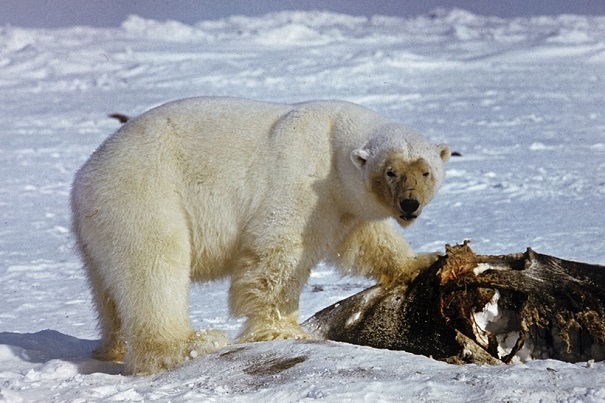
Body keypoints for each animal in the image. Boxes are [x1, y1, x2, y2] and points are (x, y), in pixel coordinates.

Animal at [71, 98, 448, 376]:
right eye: (391, 171)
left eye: (425, 171)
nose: (409, 203)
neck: (331, 144)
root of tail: (84, 179)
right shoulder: (300, 183)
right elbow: (277, 252)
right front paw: (283, 329)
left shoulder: (343, 203)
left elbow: (367, 240)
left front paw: (423, 259)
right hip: (143, 197)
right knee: (154, 269)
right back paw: (188, 345)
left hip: (98, 230)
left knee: (108, 290)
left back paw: (111, 347)